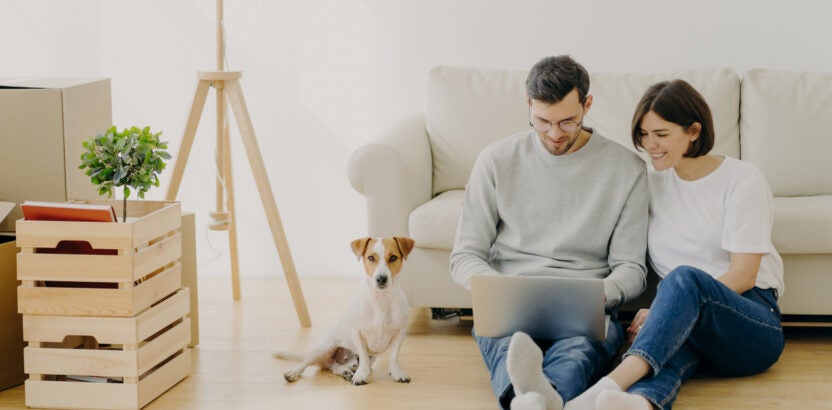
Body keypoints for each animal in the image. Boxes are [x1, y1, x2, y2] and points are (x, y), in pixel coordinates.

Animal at [274, 235, 414, 386]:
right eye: (371, 257)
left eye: (393, 257)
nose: (381, 278)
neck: (380, 300)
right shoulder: (358, 333)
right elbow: (363, 357)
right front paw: (361, 375)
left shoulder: (399, 332)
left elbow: (393, 356)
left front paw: (397, 372)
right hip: (324, 347)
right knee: (305, 363)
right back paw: (293, 373)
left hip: (366, 358)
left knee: (336, 367)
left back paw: (347, 372)